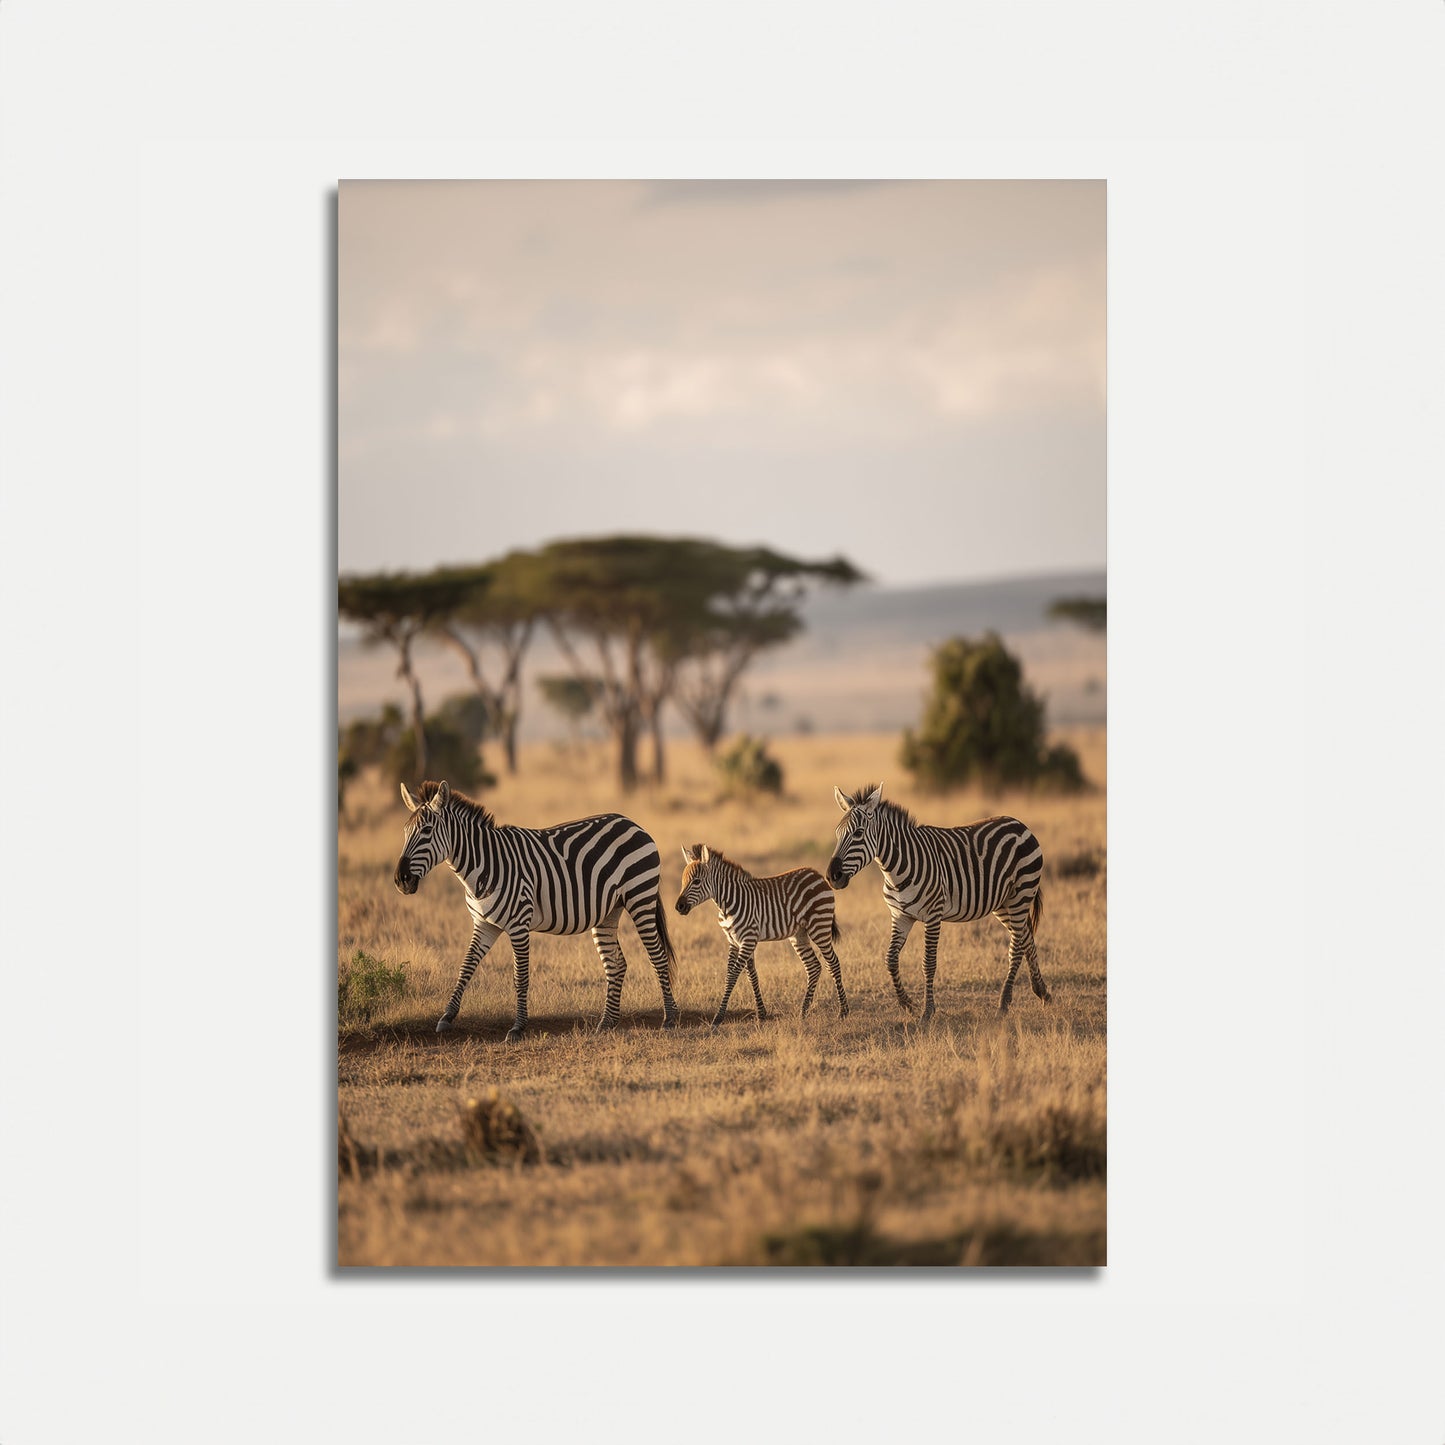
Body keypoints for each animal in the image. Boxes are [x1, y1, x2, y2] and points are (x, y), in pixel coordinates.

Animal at [393, 780, 679, 1040]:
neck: (483, 867)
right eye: (405, 831)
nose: (401, 880)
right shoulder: (484, 924)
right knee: (616, 963)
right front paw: (447, 1016)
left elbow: (520, 977)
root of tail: (631, 822)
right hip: (608, 912)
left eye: (427, 830)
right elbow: (466, 967)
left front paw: (518, 1027)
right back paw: (607, 1023)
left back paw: (670, 1018)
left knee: (657, 956)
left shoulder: (518, 924)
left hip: (640, 897)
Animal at [675, 843, 848, 1030]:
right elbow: (748, 975)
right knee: (814, 967)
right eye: (682, 881)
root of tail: (817, 875)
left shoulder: (748, 939)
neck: (727, 905)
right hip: (799, 934)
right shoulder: (734, 941)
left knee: (833, 963)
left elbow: (734, 975)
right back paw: (803, 1012)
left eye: (696, 881)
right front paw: (761, 1014)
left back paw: (843, 1012)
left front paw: (718, 1018)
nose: (679, 907)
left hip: (819, 926)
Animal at [824, 783, 1050, 1019]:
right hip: (1003, 903)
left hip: (1020, 894)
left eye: (858, 833)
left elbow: (928, 963)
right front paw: (907, 1003)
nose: (832, 876)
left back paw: (1004, 1003)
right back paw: (1042, 992)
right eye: (837, 834)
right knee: (1026, 936)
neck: (896, 870)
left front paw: (928, 1011)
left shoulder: (933, 915)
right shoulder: (900, 916)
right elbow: (890, 959)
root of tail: (1019, 823)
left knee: (1016, 946)